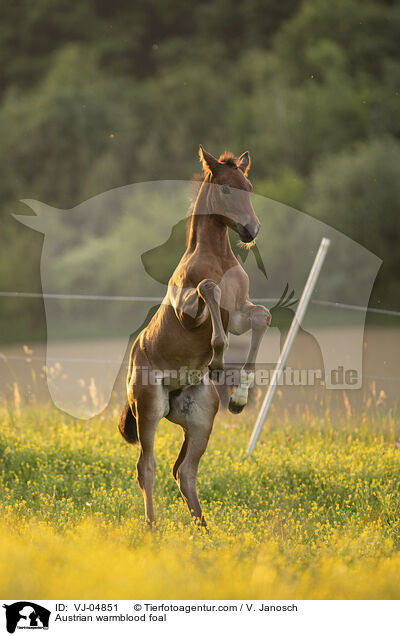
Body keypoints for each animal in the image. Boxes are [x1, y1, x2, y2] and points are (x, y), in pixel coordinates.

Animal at [117, 145, 270, 528]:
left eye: (250, 186)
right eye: (227, 188)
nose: (251, 230)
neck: (218, 258)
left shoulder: (240, 314)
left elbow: (262, 317)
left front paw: (240, 397)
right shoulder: (189, 311)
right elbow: (208, 289)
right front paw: (216, 360)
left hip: (201, 418)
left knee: (184, 471)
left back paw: (202, 530)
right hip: (149, 408)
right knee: (147, 467)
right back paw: (153, 528)